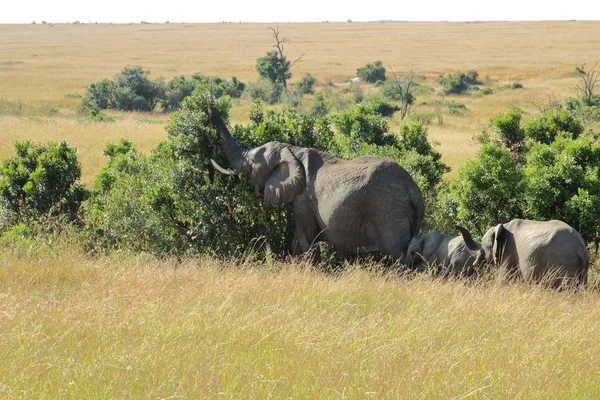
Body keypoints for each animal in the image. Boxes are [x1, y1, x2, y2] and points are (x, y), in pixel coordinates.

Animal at [209, 108, 424, 260]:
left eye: (253, 163)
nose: (210, 108)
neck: (291, 150)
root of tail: (415, 191)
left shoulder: (303, 199)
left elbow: (305, 239)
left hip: (389, 211)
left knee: (399, 253)